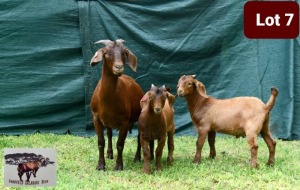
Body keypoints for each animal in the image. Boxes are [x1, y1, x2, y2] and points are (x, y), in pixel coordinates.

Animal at [89, 39, 144, 170]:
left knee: (139, 137)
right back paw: (109, 154)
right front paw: (101, 165)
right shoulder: (96, 118)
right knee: (109, 134)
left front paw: (119, 166)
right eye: (106, 53)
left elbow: (120, 144)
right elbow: (101, 142)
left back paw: (137, 157)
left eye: (124, 53)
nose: (119, 67)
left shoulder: (124, 121)